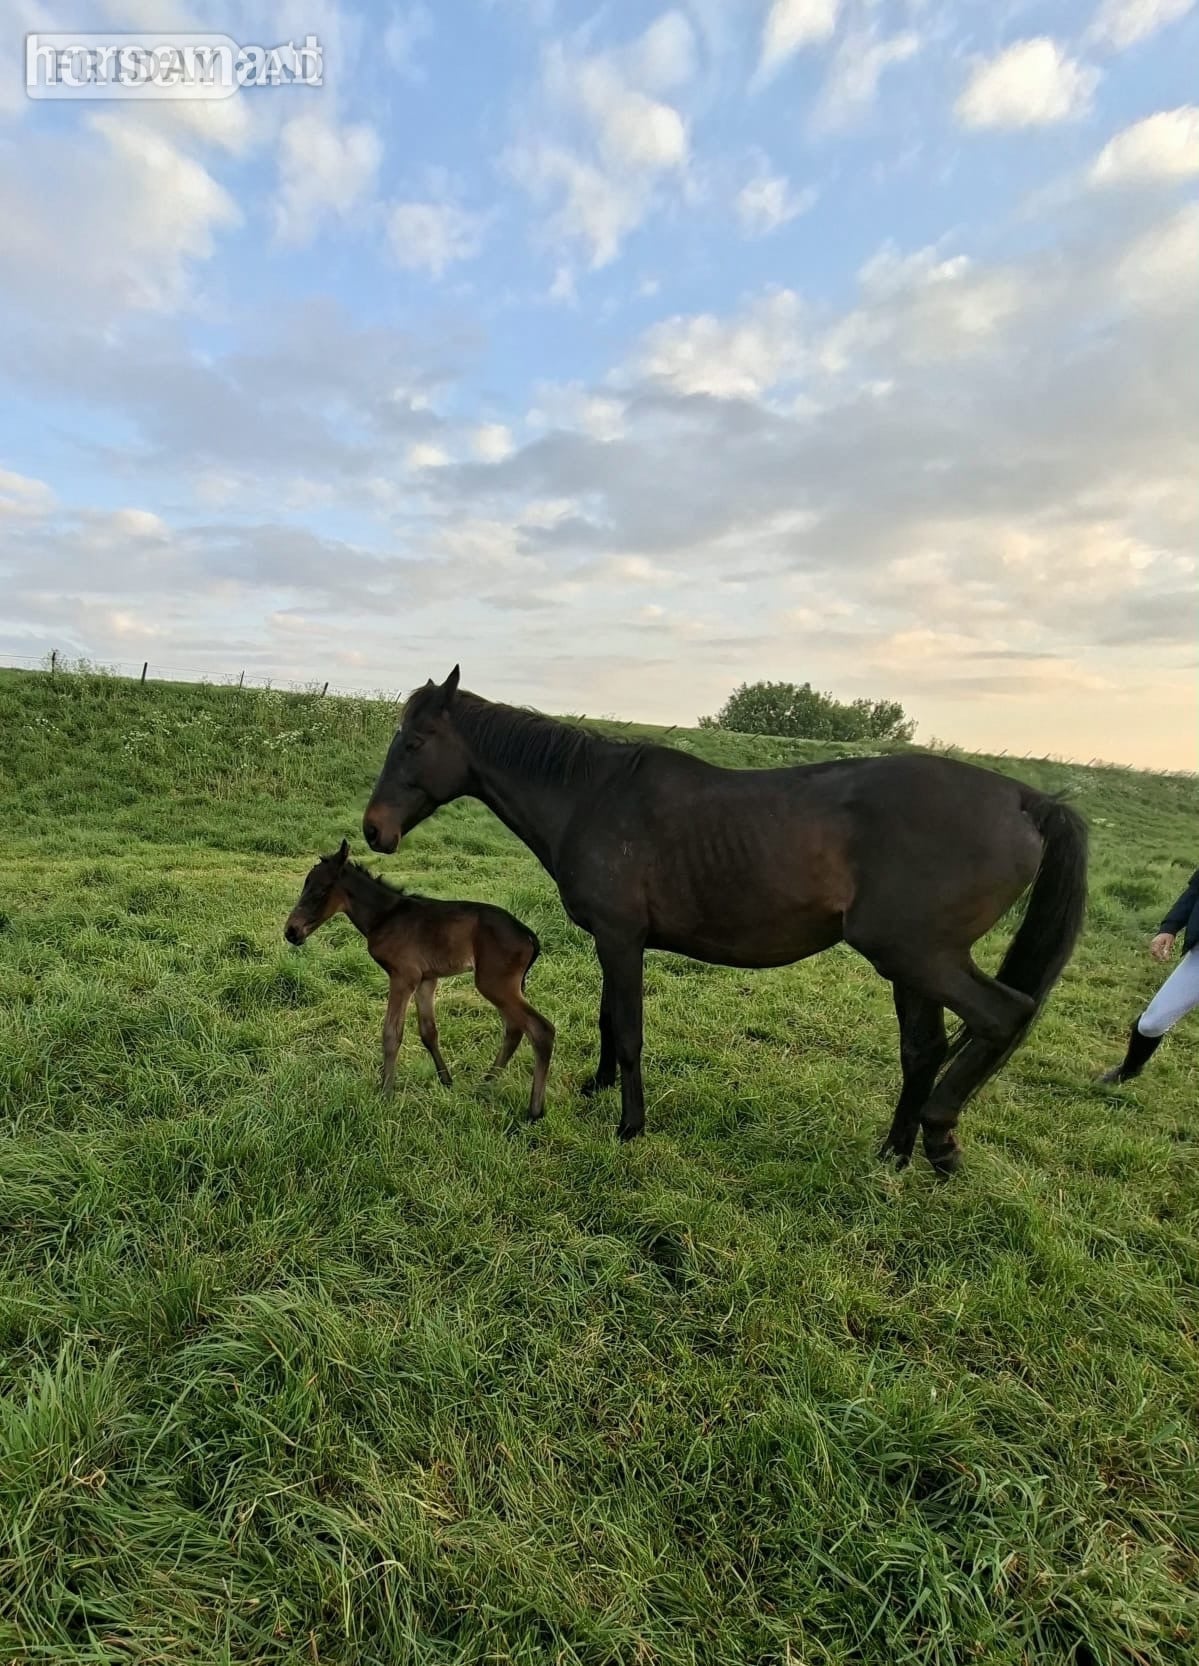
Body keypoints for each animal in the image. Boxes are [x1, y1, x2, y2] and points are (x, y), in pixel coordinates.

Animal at [285, 839, 555, 1118]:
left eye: (320, 891)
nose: (291, 932)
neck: (386, 916)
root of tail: (528, 935)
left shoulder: (403, 977)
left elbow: (392, 1034)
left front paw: (385, 1093)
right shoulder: (427, 979)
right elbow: (428, 1031)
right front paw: (446, 1081)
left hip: (494, 984)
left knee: (541, 1030)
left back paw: (534, 1110)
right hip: (504, 987)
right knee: (514, 1029)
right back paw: (486, 1083)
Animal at [362, 668, 1087, 1173]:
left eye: (415, 742)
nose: (374, 830)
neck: (591, 795)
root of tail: (1026, 800)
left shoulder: (621, 938)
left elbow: (628, 1029)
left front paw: (630, 1125)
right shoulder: (613, 940)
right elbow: (606, 1017)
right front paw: (598, 1088)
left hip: (919, 957)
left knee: (1005, 1015)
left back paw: (939, 1137)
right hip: (911, 965)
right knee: (924, 1050)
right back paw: (893, 1155)